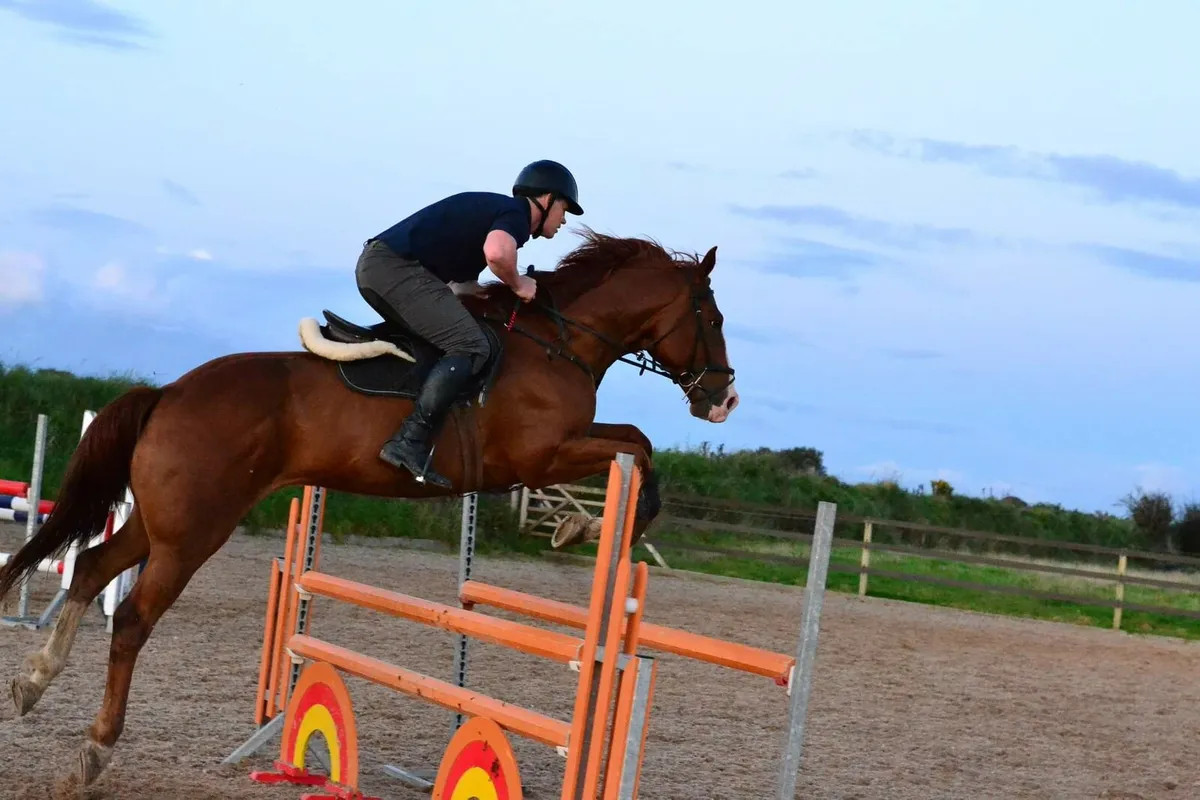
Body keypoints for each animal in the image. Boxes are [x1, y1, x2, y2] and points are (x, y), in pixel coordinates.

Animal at [0, 226, 739, 788]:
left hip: (162, 522)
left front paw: (580, 525)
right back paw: (94, 749)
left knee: (93, 565)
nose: (723, 397)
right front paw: (581, 525)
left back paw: (34, 682)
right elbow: (640, 448)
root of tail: (168, 393)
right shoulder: (542, 456)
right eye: (713, 318)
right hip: (193, 534)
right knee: (130, 618)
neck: (559, 342)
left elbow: (635, 443)